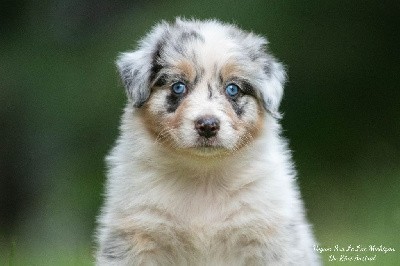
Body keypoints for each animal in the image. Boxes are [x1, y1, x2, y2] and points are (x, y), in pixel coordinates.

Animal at [95, 17, 320, 264]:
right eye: (178, 86)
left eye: (232, 89)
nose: (208, 125)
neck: (204, 177)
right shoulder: (136, 234)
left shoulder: (269, 237)